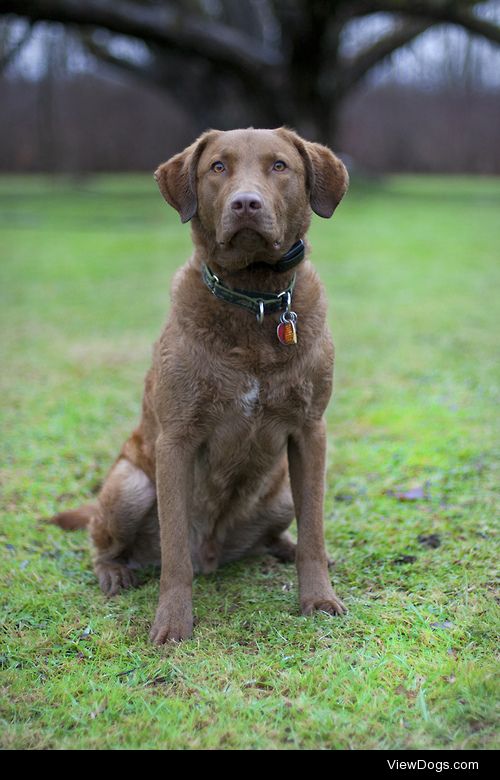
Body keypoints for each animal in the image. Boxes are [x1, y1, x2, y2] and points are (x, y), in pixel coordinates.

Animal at [50, 128, 348, 644]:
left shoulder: (311, 430)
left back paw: (286, 548)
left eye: (280, 166)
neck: (254, 301)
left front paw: (318, 598)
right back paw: (115, 572)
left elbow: (314, 527)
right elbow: (174, 556)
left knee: (280, 532)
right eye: (218, 167)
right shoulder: (176, 440)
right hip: (130, 485)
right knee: (106, 544)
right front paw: (172, 623)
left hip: (280, 491)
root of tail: (214, 554)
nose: (245, 204)